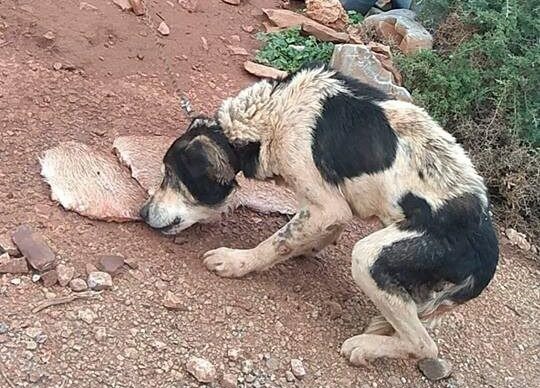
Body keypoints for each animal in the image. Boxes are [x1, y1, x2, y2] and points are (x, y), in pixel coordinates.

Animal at [139, 63, 498, 364]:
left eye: (171, 174)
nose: (142, 212)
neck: (272, 114)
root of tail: (486, 259)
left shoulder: (326, 204)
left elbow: (277, 242)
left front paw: (237, 261)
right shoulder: (333, 206)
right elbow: (315, 229)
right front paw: (309, 245)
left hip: (370, 256)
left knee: (424, 344)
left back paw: (365, 347)